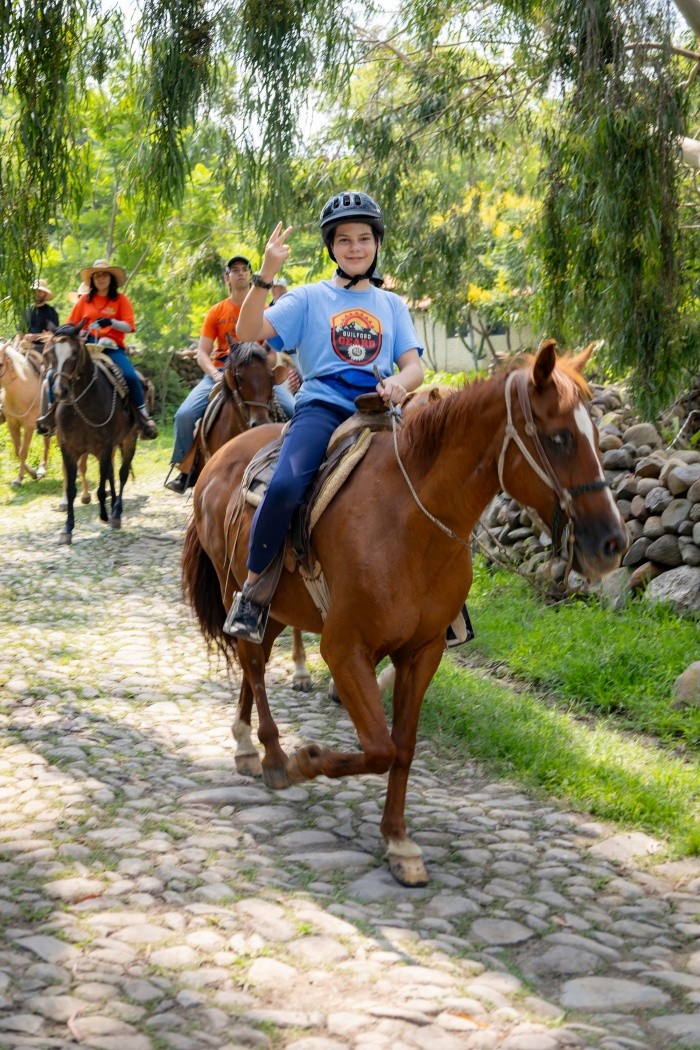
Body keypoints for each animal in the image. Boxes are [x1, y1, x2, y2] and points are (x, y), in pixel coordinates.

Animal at [44, 321, 144, 544]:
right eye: (50, 353)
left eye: (74, 352)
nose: (60, 391)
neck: (82, 405)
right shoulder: (68, 449)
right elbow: (71, 489)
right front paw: (67, 528)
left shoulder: (104, 448)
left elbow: (100, 487)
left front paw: (105, 515)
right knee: (112, 475)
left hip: (129, 440)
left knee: (122, 474)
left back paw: (116, 512)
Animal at [182, 340, 628, 887]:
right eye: (559, 437)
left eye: (596, 436)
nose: (612, 543)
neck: (410, 522)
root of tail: (220, 460)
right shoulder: (344, 648)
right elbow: (380, 747)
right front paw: (308, 760)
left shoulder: (423, 652)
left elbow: (404, 746)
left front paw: (398, 841)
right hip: (236, 592)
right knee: (252, 661)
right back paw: (270, 754)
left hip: (278, 607)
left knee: (256, 658)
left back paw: (247, 743)